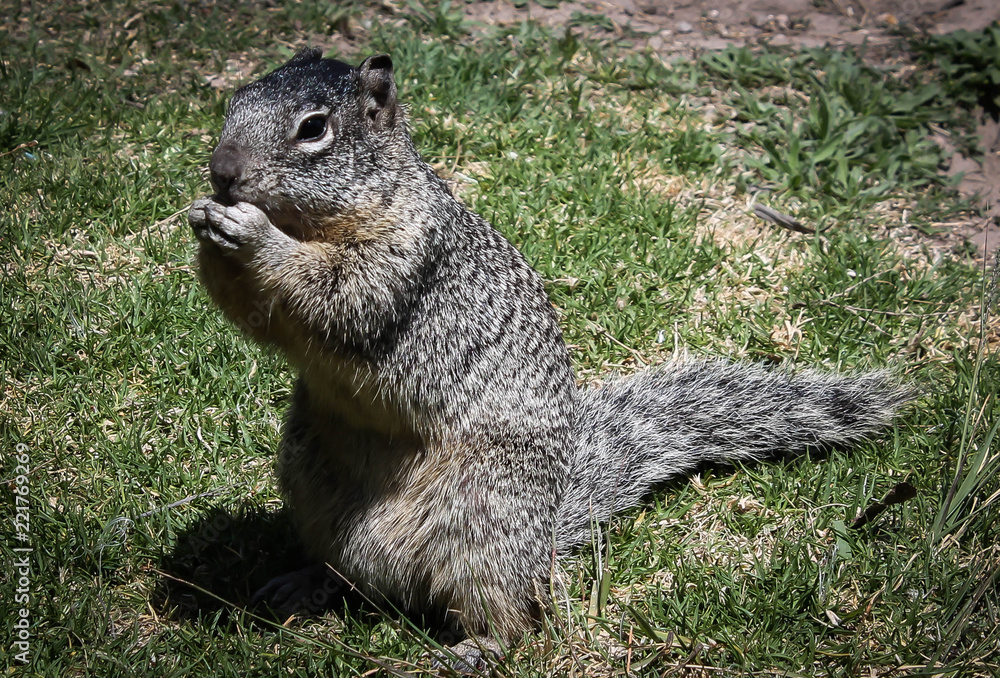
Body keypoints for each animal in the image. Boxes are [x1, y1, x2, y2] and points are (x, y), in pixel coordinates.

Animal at [188, 48, 912, 671]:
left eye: (314, 129)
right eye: (237, 98)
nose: (222, 171)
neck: (321, 218)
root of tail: (545, 540)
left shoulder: (402, 255)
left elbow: (337, 291)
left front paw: (251, 232)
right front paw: (203, 219)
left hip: (485, 522)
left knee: (510, 617)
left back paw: (473, 649)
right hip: (311, 476)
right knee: (345, 572)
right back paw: (302, 581)